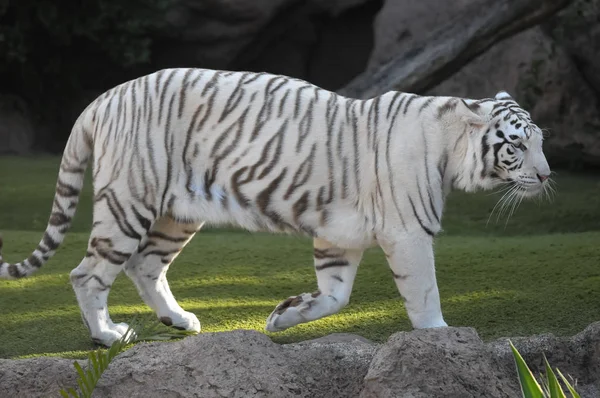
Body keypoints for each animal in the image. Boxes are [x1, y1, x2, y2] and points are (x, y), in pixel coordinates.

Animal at [1, 68, 552, 346]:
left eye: (541, 141)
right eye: (517, 145)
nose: (548, 175)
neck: (451, 149)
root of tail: (104, 97)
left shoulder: (338, 235)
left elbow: (335, 298)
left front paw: (282, 316)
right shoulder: (408, 232)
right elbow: (424, 291)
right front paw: (440, 334)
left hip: (178, 214)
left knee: (145, 265)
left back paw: (179, 321)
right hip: (128, 203)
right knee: (88, 273)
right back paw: (108, 336)